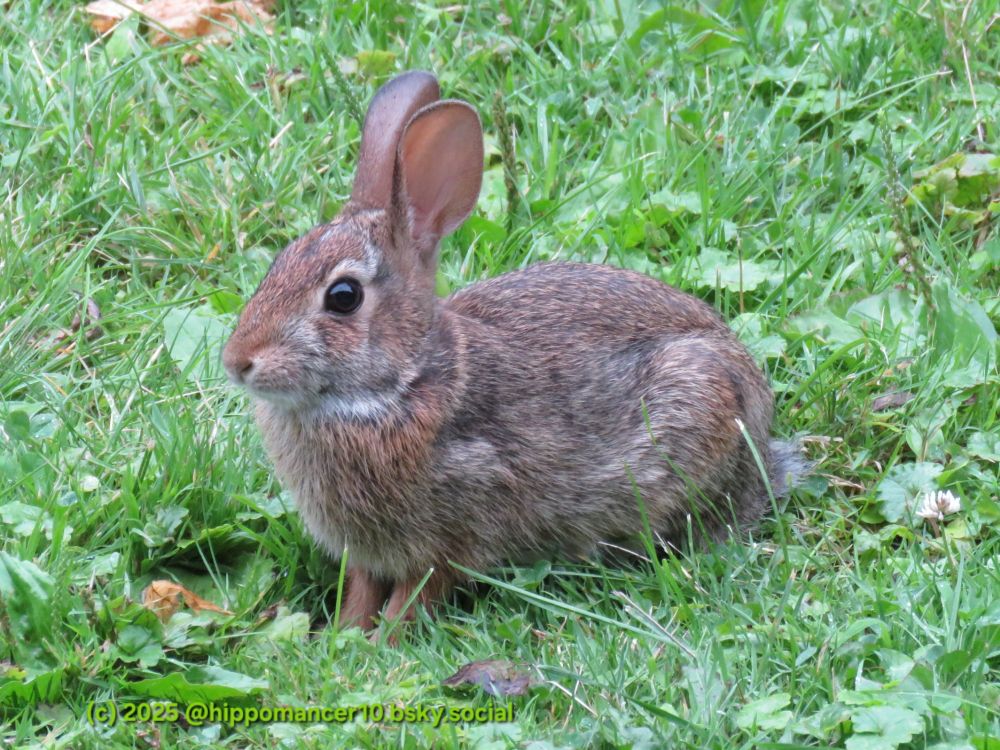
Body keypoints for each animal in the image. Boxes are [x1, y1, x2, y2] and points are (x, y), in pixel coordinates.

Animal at [222, 71, 803, 634]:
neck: (401, 386)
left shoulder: (457, 525)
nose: (238, 362)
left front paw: (382, 642)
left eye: (343, 297)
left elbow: (417, 594)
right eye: (278, 262)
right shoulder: (367, 553)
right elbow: (362, 593)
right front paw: (342, 638)